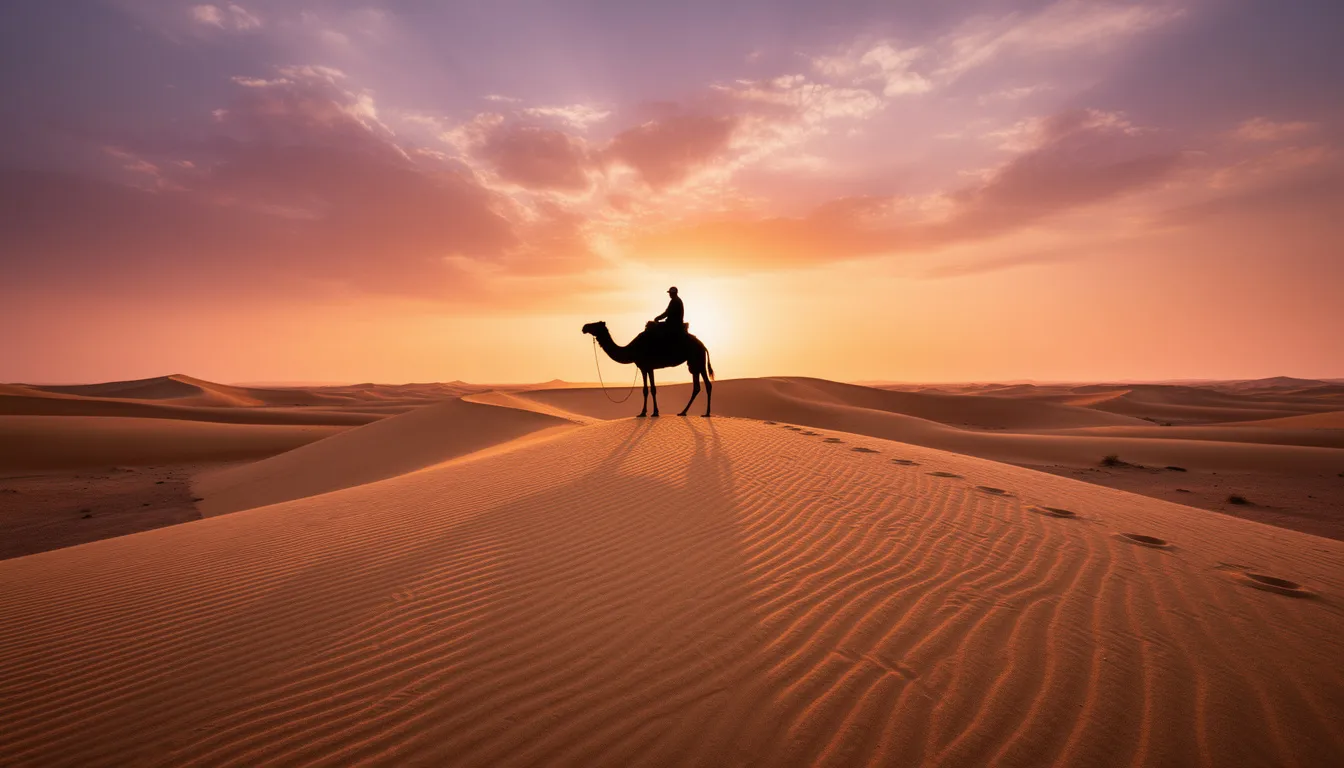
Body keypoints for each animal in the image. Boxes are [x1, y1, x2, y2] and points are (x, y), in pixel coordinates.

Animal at [582, 321, 714, 417]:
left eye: (596, 324)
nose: (584, 327)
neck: (632, 349)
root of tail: (703, 346)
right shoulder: (644, 368)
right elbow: (646, 390)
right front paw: (645, 412)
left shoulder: (648, 366)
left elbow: (652, 389)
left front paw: (652, 413)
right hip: (693, 364)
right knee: (697, 387)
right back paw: (683, 412)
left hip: (698, 361)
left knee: (707, 384)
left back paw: (706, 413)